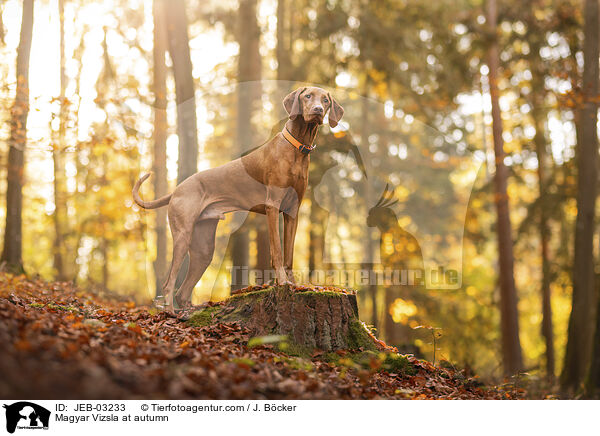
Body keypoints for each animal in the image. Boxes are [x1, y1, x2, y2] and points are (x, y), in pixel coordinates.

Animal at [134, 87, 344, 312]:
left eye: (325, 100)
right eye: (308, 96)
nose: (318, 110)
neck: (297, 148)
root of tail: (176, 190)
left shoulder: (292, 212)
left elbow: (289, 254)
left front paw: (294, 284)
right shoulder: (272, 207)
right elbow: (278, 252)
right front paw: (281, 282)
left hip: (204, 247)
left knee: (182, 291)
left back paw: (189, 312)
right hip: (183, 235)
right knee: (168, 283)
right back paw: (172, 313)